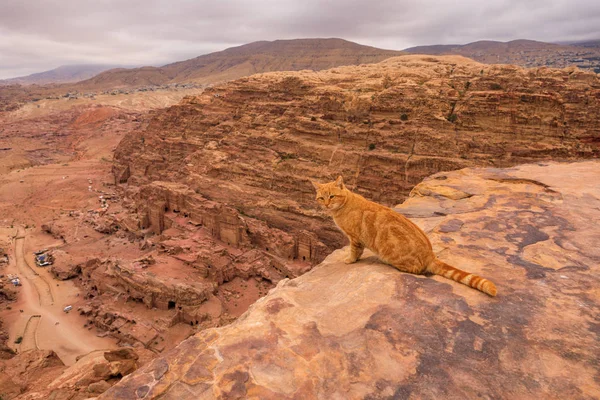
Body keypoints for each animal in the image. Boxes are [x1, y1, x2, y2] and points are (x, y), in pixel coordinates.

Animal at [314, 176, 496, 296]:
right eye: (321, 198)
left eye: (332, 196)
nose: (326, 204)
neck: (343, 205)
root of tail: (430, 254)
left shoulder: (355, 238)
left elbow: (354, 252)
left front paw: (349, 260)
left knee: (416, 270)